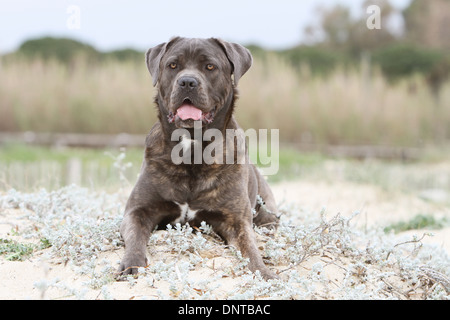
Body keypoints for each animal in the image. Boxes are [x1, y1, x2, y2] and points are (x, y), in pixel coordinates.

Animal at [118, 36, 282, 278]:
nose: (187, 82)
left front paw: (263, 272)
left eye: (210, 66)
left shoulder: (236, 220)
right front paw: (131, 262)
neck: (192, 146)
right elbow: (136, 236)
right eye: (173, 65)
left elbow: (250, 248)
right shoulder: (138, 211)